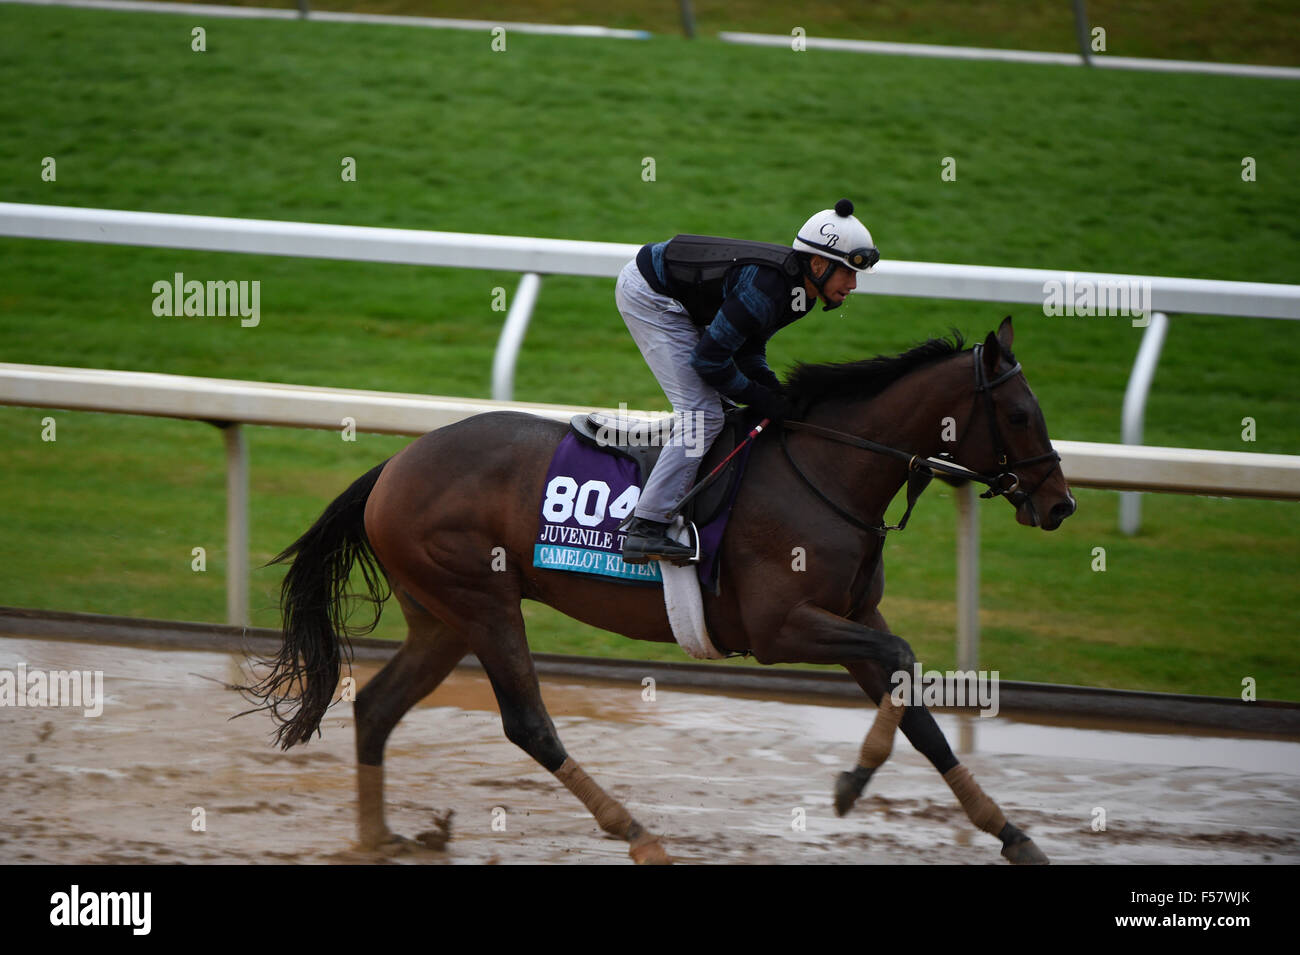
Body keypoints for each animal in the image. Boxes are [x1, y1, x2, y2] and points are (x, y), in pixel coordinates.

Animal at [244, 315, 1076, 867]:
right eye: (1020, 412)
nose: (1060, 503)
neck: (826, 470)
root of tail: (393, 465)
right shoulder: (781, 628)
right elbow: (903, 657)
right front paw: (851, 781)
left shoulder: (850, 614)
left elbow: (922, 714)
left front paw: (1014, 834)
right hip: (482, 600)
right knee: (528, 724)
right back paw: (640, 834)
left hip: (442, 618)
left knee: (377, 708)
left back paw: (379, 837)